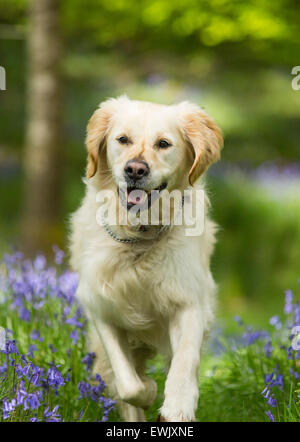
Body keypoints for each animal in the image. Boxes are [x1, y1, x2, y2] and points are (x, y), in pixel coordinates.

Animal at [69, 96, 223, 422]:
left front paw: (177, 406)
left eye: (163, 143)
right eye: (122, 139)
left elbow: (184, 363)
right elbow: (128, 385)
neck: (139, 237)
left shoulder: (189, 301)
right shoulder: (101, 308)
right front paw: (149, 389)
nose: (135, 170)